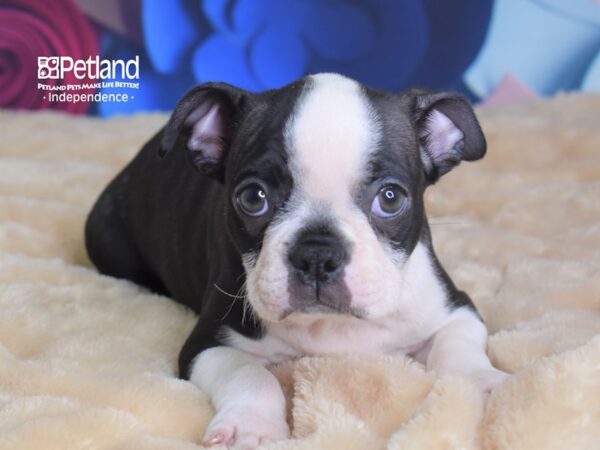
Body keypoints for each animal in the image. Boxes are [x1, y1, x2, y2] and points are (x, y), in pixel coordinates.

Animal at [86, 73, 508, 446]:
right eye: (252, 197)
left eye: (391, 198)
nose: (317, 254)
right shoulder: (208, 342)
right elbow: (253, 376)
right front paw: (250, 428)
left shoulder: (455, 308)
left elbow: (458, 349)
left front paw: (482, 383)